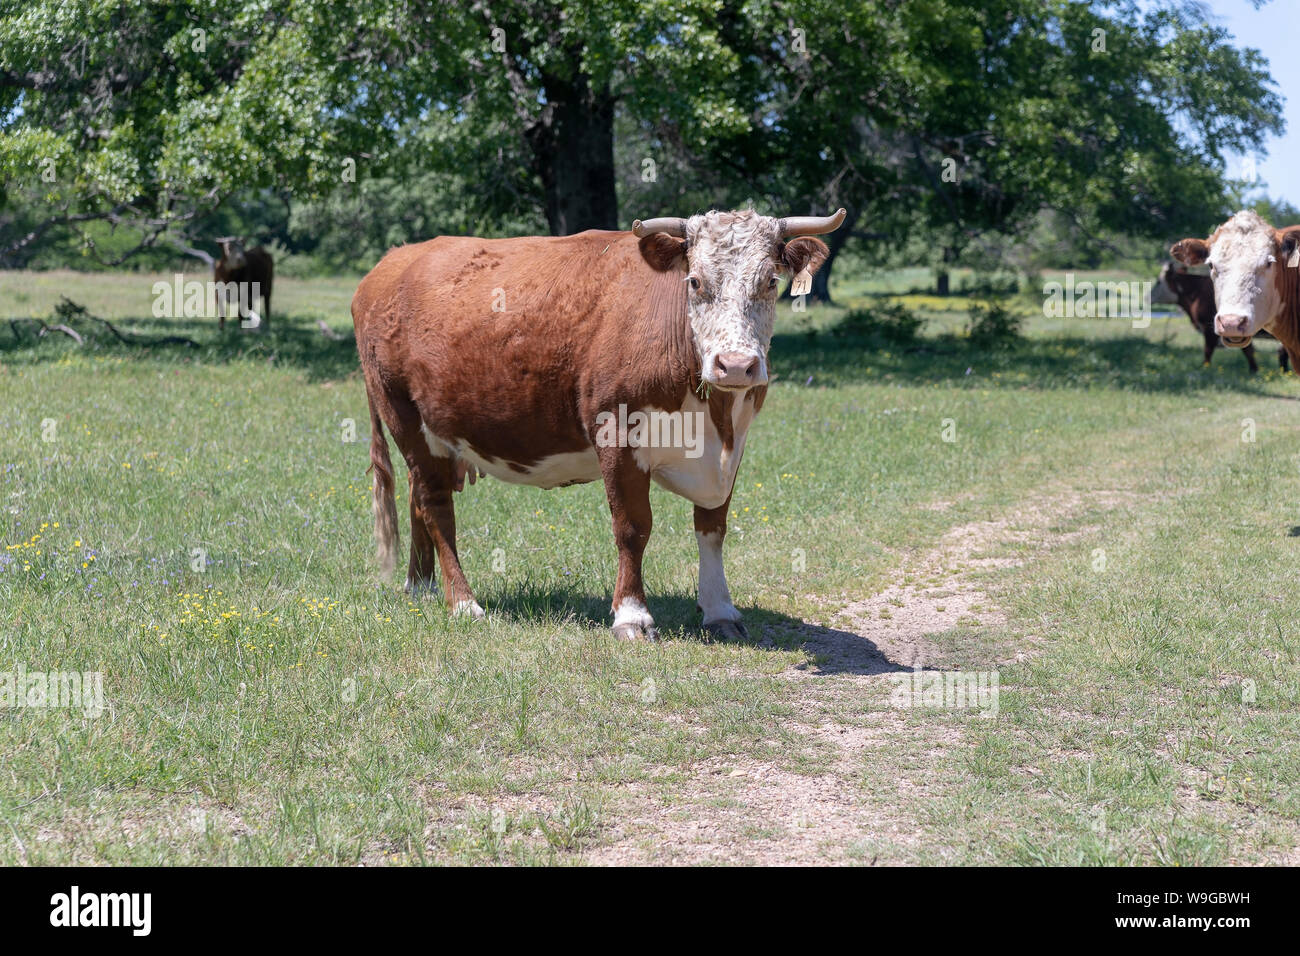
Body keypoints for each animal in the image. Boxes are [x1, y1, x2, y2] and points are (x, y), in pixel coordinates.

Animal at [351, 210, 847, 642]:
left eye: (770, 282)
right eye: (695, 281)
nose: (737, 365)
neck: (713, 418)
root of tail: (394, 261)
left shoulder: (733, 446)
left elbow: (713, 526)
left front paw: (720, 611)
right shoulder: (618, 433)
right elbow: (633, 527)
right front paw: (632, 616)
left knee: (418, 498)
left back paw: (421, 587)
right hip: (404, 416)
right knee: (436, 506)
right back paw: (463, 602)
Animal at [1154, 261, 1284, 374]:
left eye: (1158, 282)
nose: (1149, 297)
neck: (1197, 292)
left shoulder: (1208, 328)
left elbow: (1208, 350)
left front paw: (1205, 368)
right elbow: (1248, 350)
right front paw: (1254, 370)